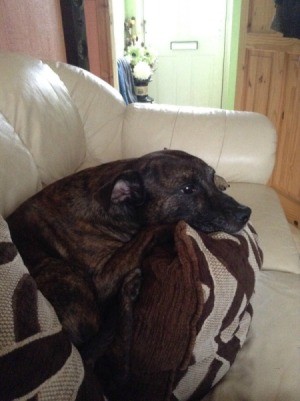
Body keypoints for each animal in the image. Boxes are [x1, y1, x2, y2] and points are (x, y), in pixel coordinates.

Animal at [6, 151, 251, 356]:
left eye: (211, 177)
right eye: (188, 189)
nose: (246, 213)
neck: (120, 207)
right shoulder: (101, 281)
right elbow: (151, 230)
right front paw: (169, 226)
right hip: (61, 272)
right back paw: (128, 291)